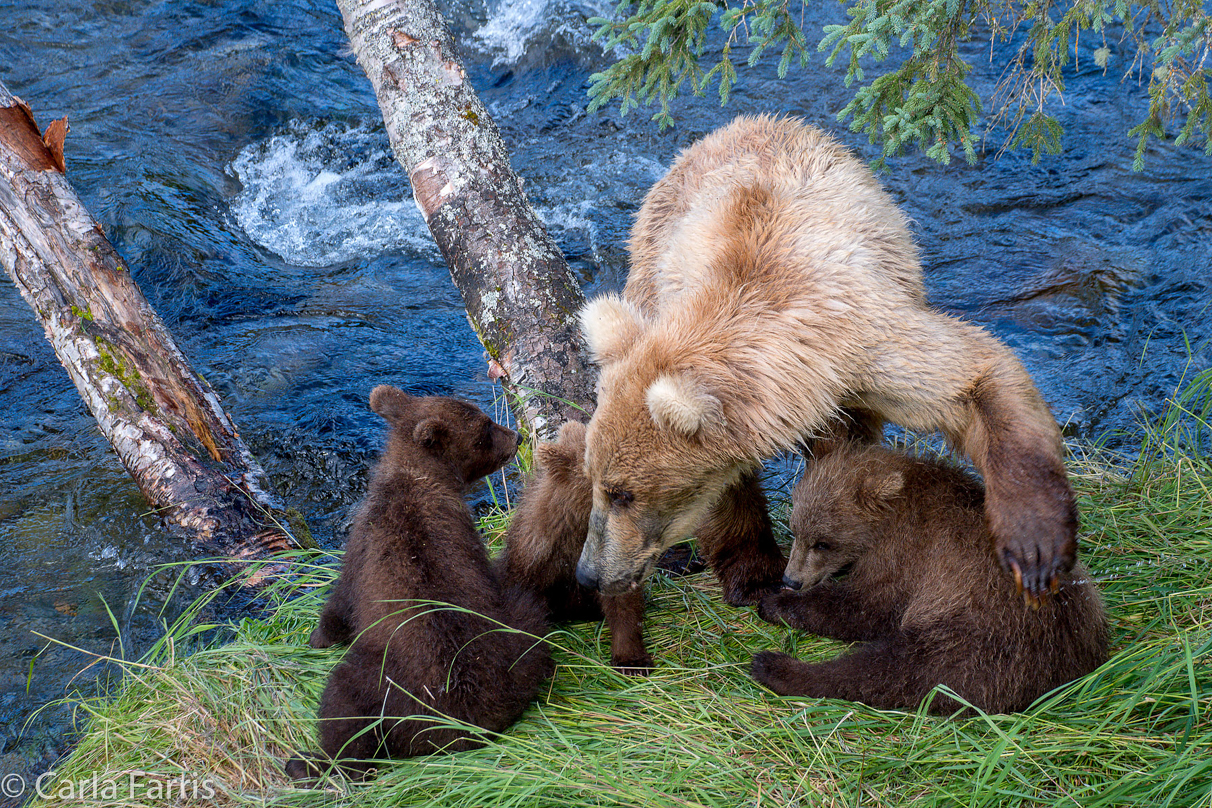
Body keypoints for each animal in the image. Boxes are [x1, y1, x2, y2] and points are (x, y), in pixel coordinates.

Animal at [576, 116, 1081, 603]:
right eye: (594, 479)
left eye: (622, 493)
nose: (588, 574)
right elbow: (725, 486)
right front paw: (753, 573)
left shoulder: (864, 341)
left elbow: (971, 378)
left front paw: (1035, 546)